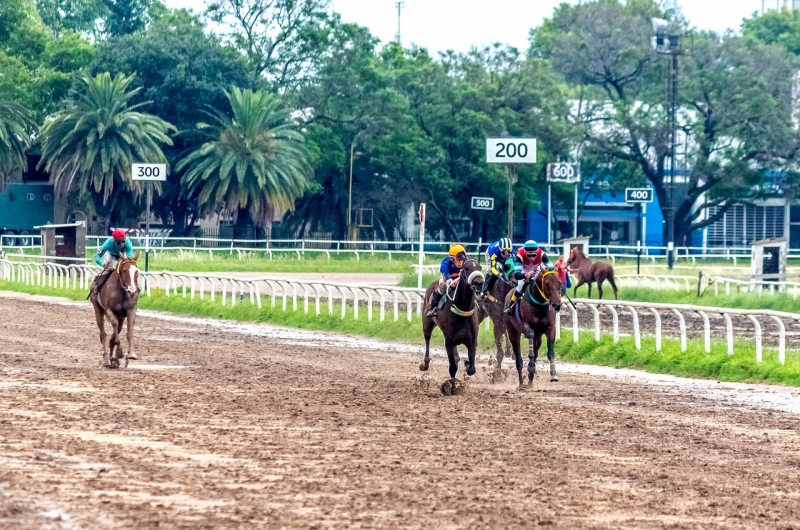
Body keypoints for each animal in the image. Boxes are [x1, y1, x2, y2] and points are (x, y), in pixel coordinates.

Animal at [418, 260, 488, 388]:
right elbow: (453, 367)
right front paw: (452, 387)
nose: (479, 283)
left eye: (480, 267)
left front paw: (467, 363)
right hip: (427, 323)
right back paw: (425, 364)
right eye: (466, 268)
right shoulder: (449, 341)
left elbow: (472, 369)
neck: (462, 310)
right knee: (427, 339)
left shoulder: (472, 340)